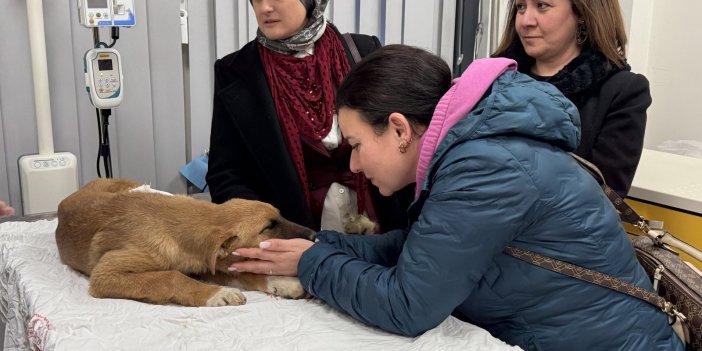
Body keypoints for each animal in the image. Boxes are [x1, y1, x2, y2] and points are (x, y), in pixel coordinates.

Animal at [55, 179, 316, 308]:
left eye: (279, 216)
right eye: (268, 227)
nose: (315, 236)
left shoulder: (209, 265)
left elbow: (245, 272)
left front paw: (282, 282)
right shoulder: (106, 274)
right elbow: (171, 277)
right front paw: (217, 294)